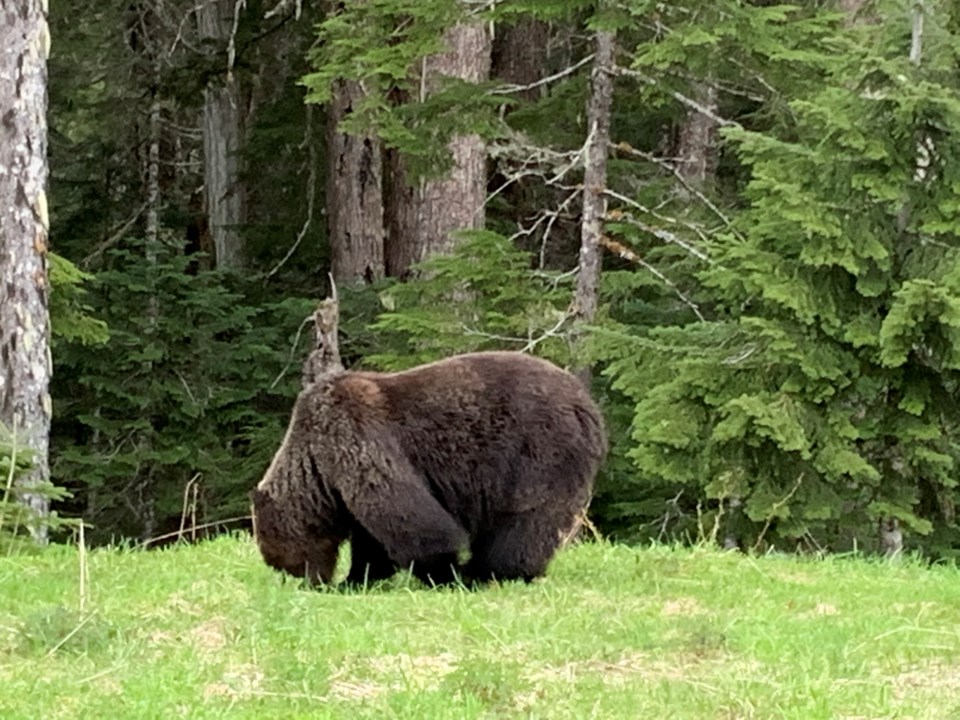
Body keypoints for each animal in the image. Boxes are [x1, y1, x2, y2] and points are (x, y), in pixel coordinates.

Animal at [251, 352, 604, 588]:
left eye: (278, 559)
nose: (307, 582)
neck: (317, 468)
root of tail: (587, 402)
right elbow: (371, 537)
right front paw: (357, 578)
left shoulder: (355, 436)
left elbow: (407, 514)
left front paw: (441, 572)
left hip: (537, 448)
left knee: (526, 516)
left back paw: (490, 572)